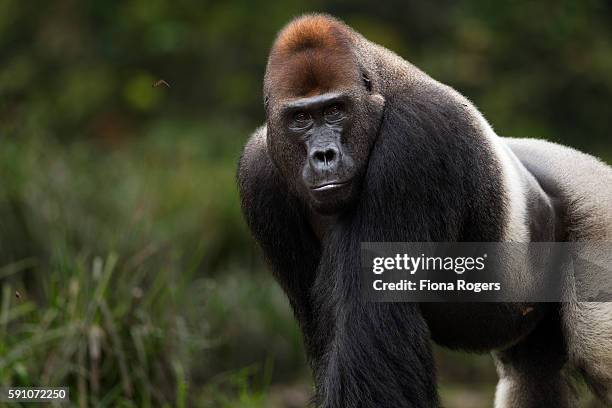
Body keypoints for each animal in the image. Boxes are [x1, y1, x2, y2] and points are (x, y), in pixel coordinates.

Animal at [235, 13, 612, 408]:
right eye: (301, 119)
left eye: (335, 111)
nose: (324, 155)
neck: (381, 90)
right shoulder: (258, 172)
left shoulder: (413, 140)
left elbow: (375, 326)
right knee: (532, 371)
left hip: (598, 203)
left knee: (598, 357)